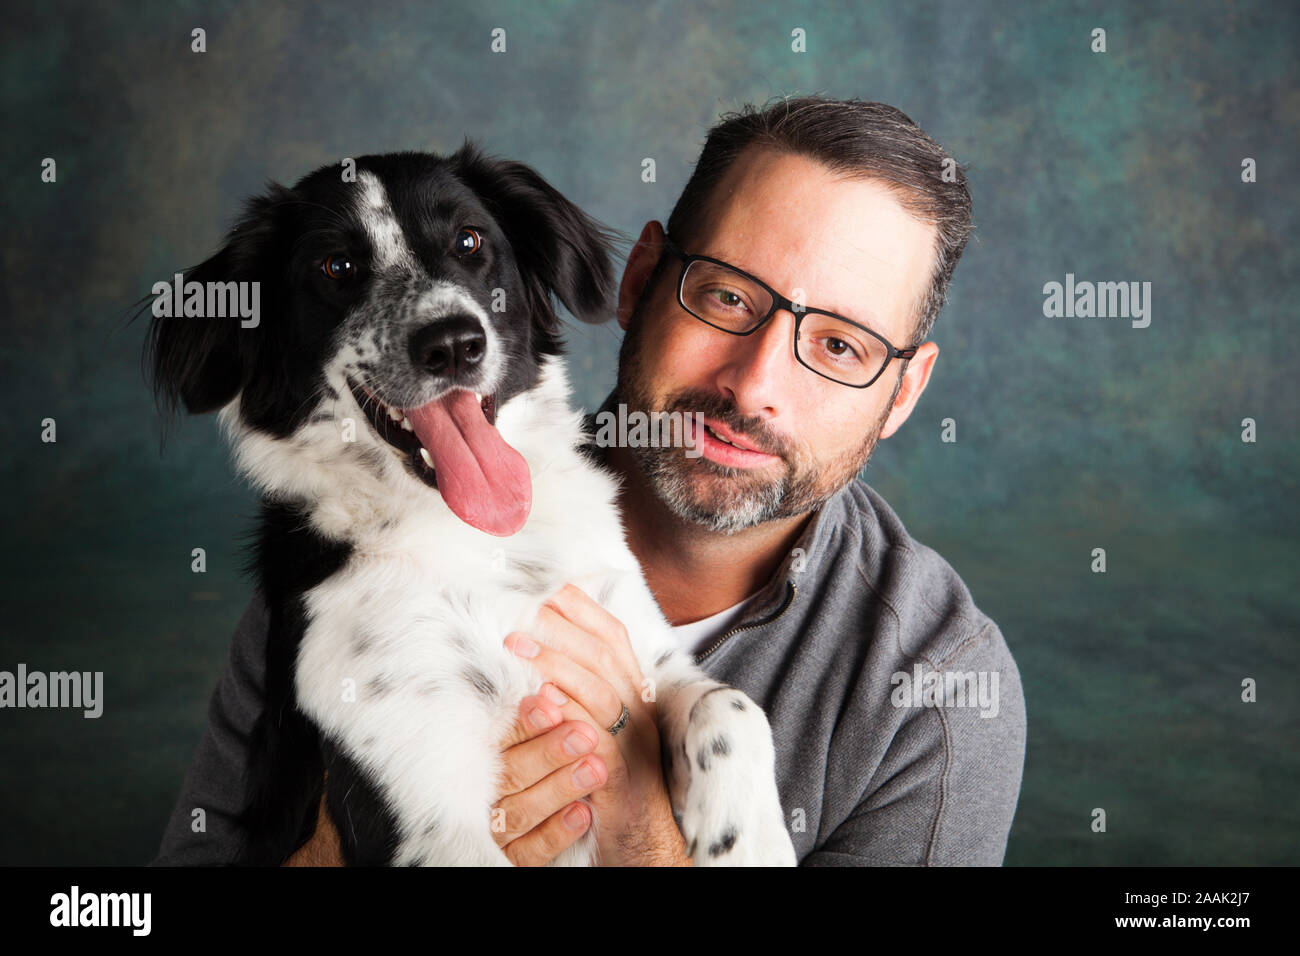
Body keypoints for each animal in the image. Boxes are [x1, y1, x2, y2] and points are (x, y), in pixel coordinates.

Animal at [142, 143, 790, 868]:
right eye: (337, 267)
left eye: (470, 240)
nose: (453, 344)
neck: (482, 541)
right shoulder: (426, 809)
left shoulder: (643, 654)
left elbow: (733, 704)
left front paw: (749, 839)